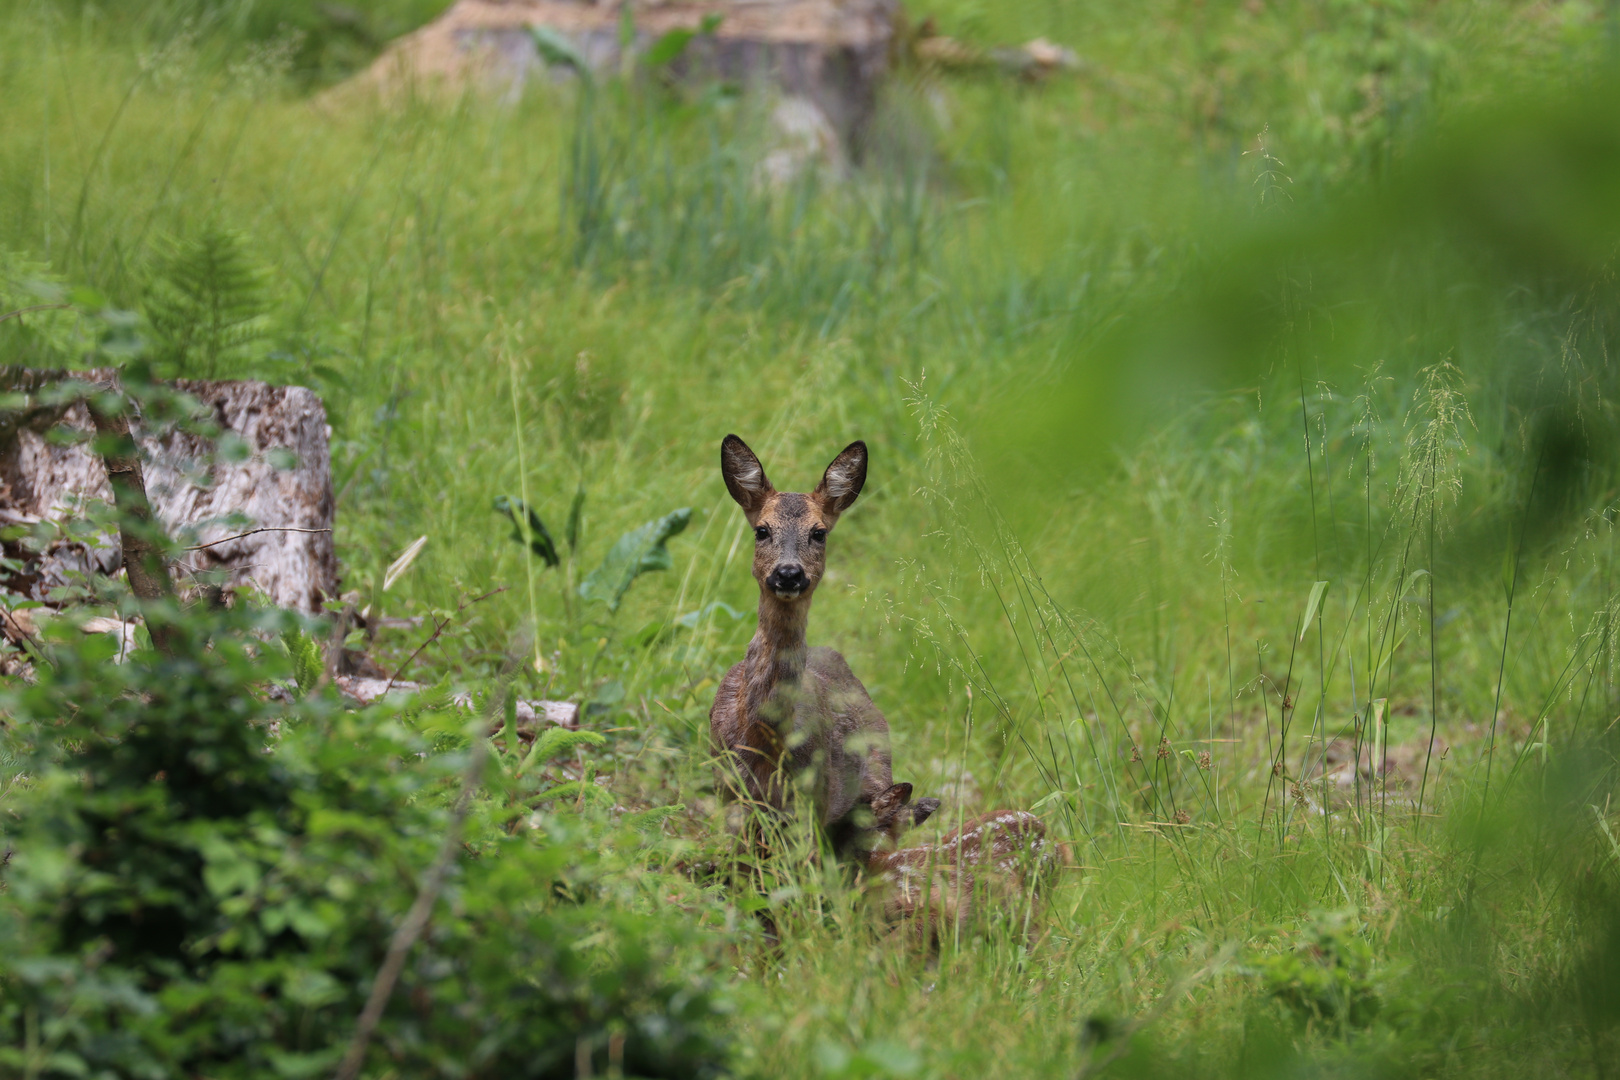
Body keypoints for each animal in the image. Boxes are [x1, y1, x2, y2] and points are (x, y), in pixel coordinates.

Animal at [709, 433, 939, 867]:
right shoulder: (729, 786)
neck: (765, 736)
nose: (788, 573)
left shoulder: (815, 795)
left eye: (819, 533)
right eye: (761, 530)